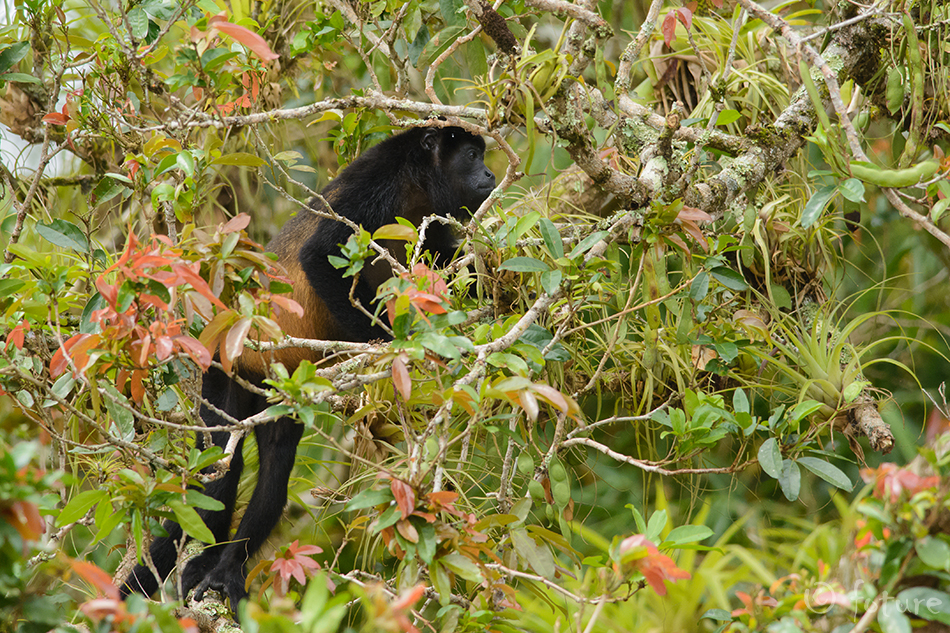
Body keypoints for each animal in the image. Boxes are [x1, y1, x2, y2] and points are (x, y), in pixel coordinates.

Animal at [121, 124, 498, 612]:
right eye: (471, 155)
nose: (490, 173)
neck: (419, 183)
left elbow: (450, 270)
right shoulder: (374, 183)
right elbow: (321, 256)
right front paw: (385, 343)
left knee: (276, 462)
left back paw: (223, 569)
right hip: (223, 375)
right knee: (221, 469)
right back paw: (210, 564)